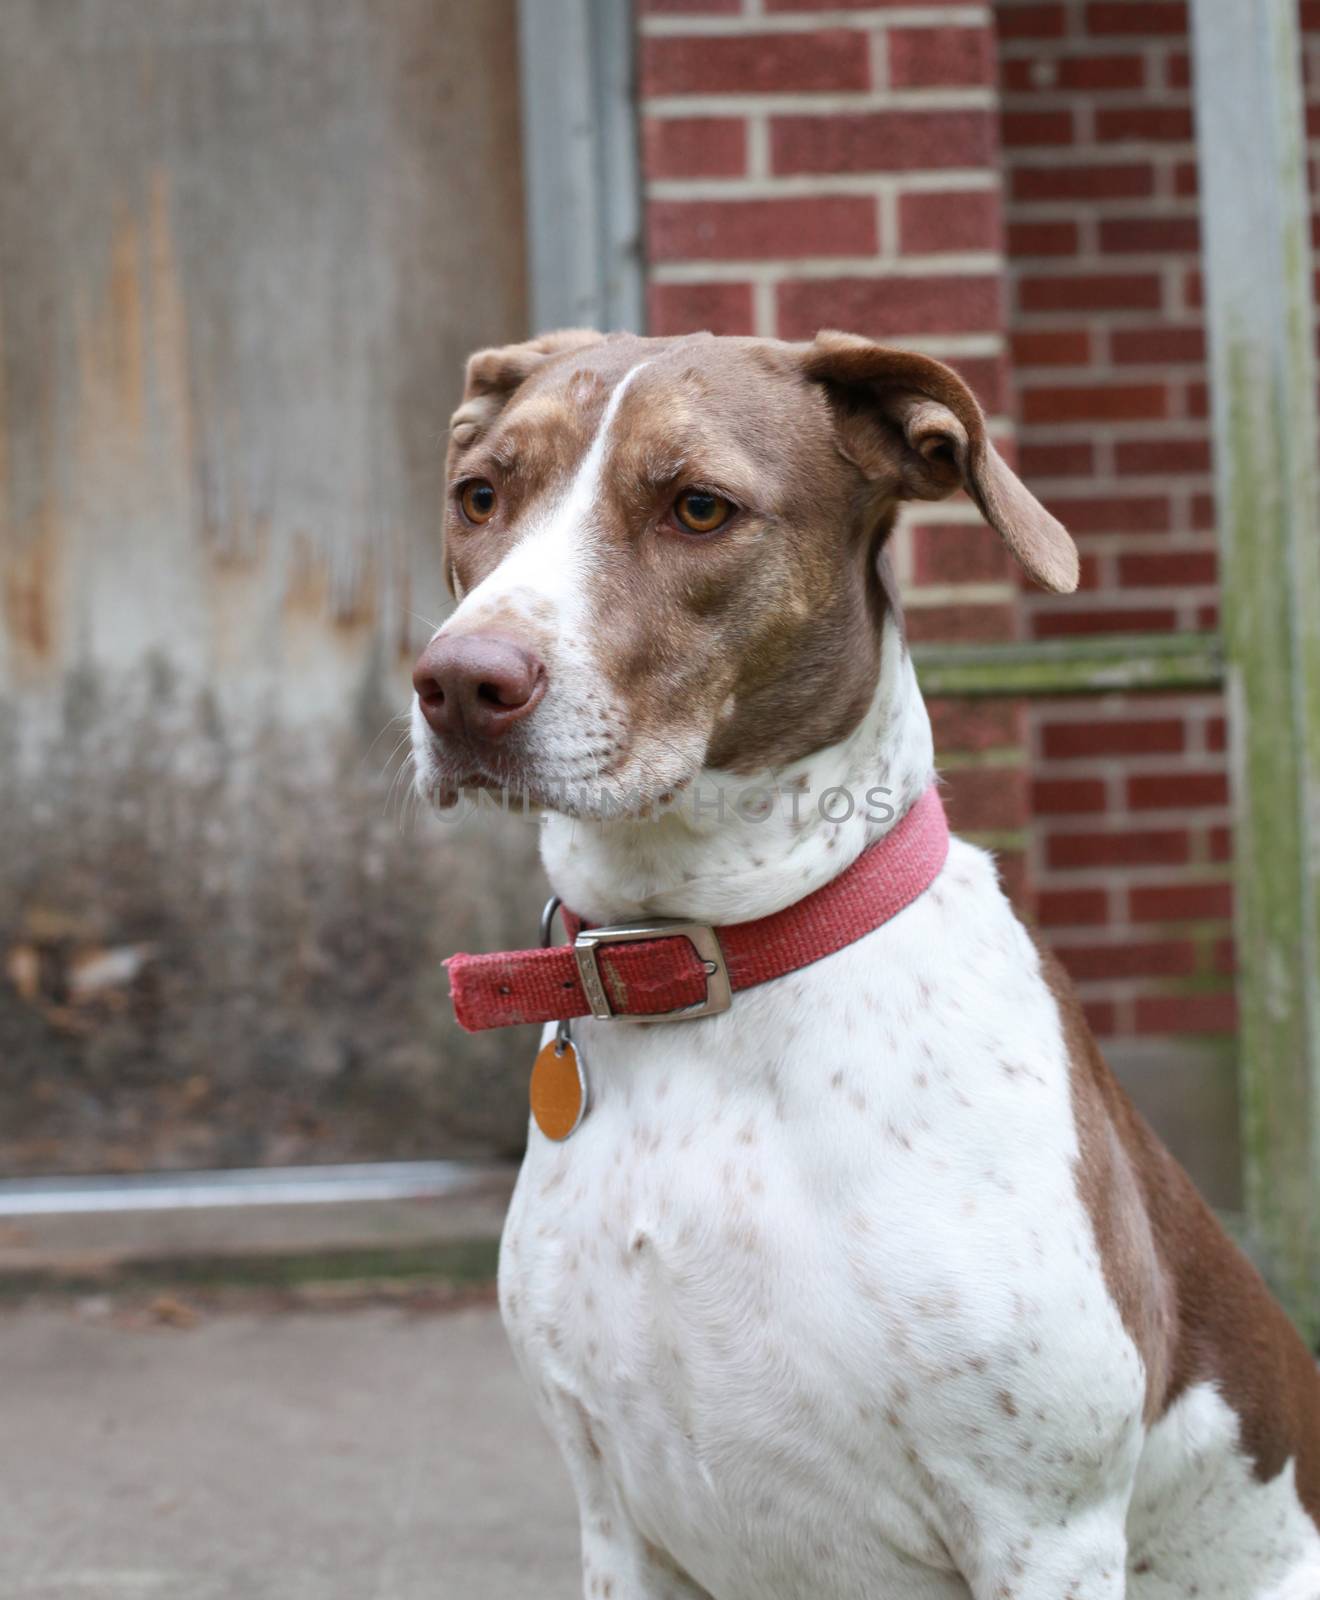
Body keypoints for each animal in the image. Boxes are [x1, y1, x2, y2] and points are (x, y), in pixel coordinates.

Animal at [412, 328, 1318, 1600]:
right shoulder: (616, 1521)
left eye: (699, 507)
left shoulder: (1044, 1528)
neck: (706, 968)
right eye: (481, 496)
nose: (457, 685)